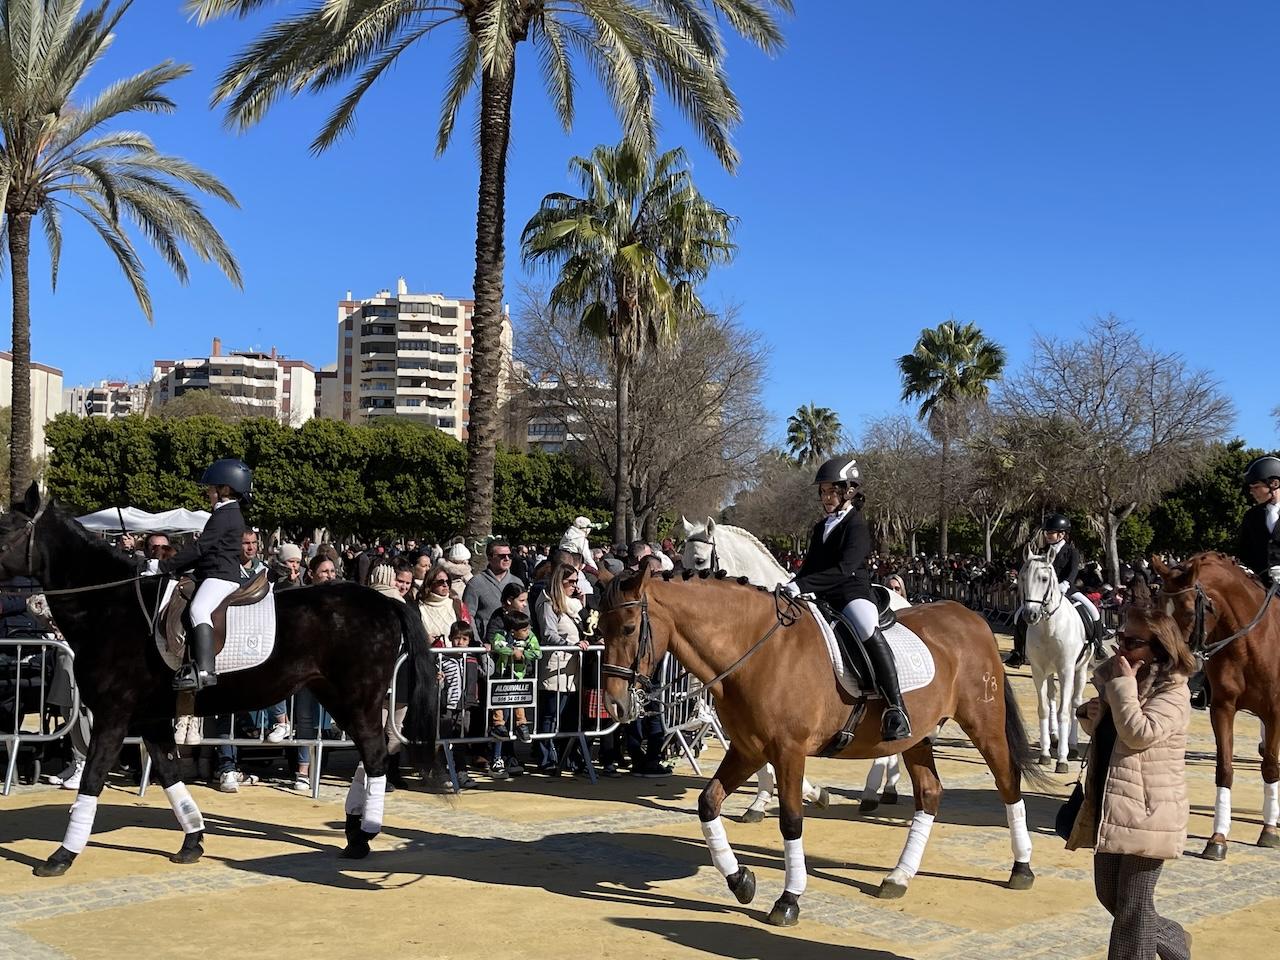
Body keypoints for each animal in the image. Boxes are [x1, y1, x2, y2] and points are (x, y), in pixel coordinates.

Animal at [0, 488, 440, 880]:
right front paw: (192, 841)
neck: (111, 609)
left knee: (376, 754)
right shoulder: (150, 719)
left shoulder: (113, 715)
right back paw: (355, 831)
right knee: (373, 752)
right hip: (338, 696)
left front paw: (61, 856)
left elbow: (92, 781)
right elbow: (169, 774)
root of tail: (386, 601)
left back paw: (366, 831)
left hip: (357, 696)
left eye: (7, 528)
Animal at [593, 568, 1044, 926]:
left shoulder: (788, 752)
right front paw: (741, 881)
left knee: (1008, 782)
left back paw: (1021, 868)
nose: (615, 704)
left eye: (629, 628)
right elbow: (708, 803)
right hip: (915, 736)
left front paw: (788, 899)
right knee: (930, 793)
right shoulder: (748, 749)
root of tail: (969, 616)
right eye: (600, 630)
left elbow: (791, 821)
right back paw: (898, 877)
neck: (757, 650)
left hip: (983, 724)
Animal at [1013, 555, 1085, 773]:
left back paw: (1072, 746)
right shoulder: (1038, 671)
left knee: (1075, 703)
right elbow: (1044, 708)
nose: (1030, 615)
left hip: (1081, 670)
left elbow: (1064, 712)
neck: (1049, 627)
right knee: (1052, 697)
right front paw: (1045, 753)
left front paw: (1062, 758)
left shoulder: (1066, 670)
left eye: (1044, 579)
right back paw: (1054, 736)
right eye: (1022, 578)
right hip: (1050, 672)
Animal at [1152, 552, 1280, 860]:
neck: (1249, 643)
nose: (1168, 661)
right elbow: (1224, 769)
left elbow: (1270, 767)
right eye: (1158, 607)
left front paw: (1269, 830)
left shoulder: (1274, 713)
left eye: (1189, 611)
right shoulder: (1222, 708)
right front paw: (1218, 838)